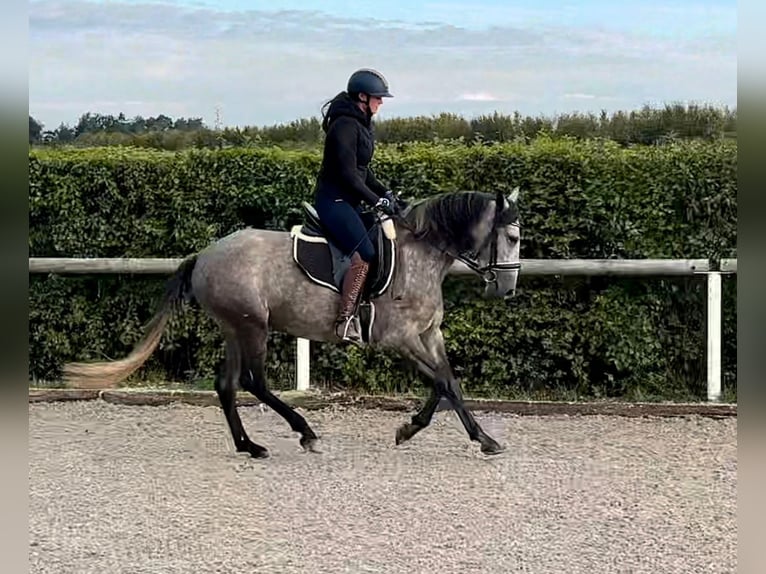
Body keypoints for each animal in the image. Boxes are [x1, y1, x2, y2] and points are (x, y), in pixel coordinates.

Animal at [63, 189, 524, 460]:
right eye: (513, 238)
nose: (506, 289)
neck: (420, 254)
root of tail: (205, 255)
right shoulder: (400, 338)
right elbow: (442, 383)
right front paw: (465, 437)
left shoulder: (429, 334)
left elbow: (449, 383)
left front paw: (427, 431)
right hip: (253, 327)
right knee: (254, 382)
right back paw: (305, 432)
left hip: (234, 329)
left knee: (227, 386)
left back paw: (250, 446)